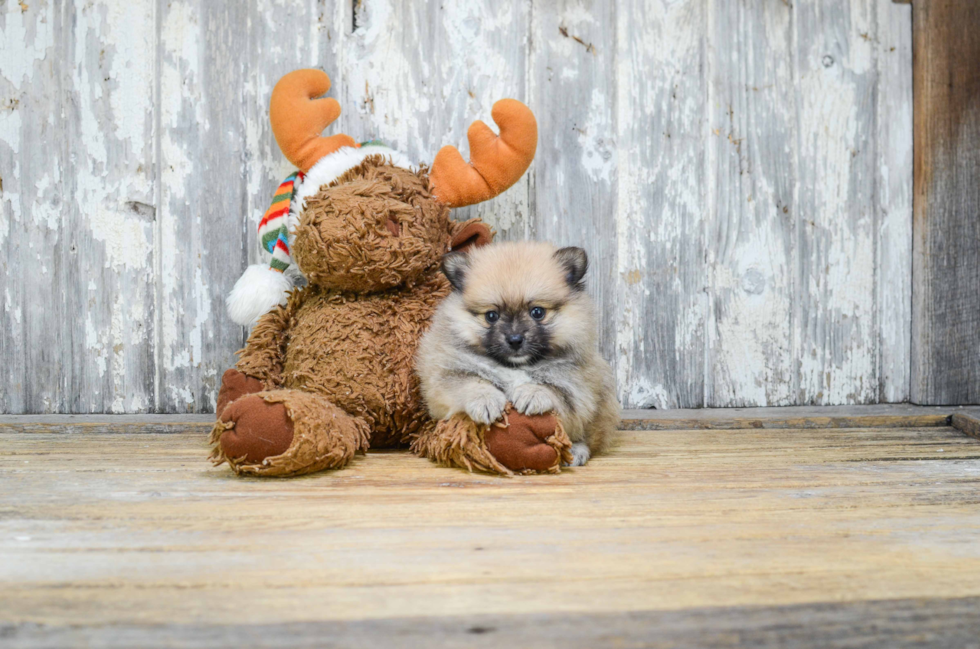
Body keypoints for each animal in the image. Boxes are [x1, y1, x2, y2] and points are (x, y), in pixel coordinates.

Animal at [416, 240, 620, 464]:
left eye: (537, 312)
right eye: (491, 316)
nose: (514, 339)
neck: (515, 365)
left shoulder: (577, 389)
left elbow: (552, 389)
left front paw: (531, 393)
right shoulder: (446, 375)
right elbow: (472, 383)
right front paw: (486, 400)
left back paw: (575, 451)